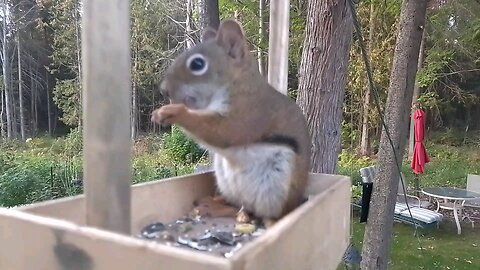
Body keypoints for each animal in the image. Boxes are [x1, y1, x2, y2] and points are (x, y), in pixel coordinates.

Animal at [152, 20, 314, 224]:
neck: (237, 83)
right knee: (238, 206)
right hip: (225, 179)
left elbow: (225, 131)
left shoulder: (250, 113)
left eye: (197, 63)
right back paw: (214, 203)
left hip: (274, 185)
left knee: (253, 212)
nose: (164, 90)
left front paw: (174, 112)